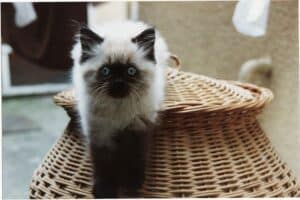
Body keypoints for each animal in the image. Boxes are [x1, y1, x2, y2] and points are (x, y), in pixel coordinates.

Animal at [70, 21, 169, 198]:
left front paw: (131, 184)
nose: (118, 83)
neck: (118, 110)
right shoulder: (100, 135)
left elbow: (135, 158)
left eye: (131, 71)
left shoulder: (138, 129)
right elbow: (104, 166)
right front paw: (104, 191)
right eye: (105, 71)